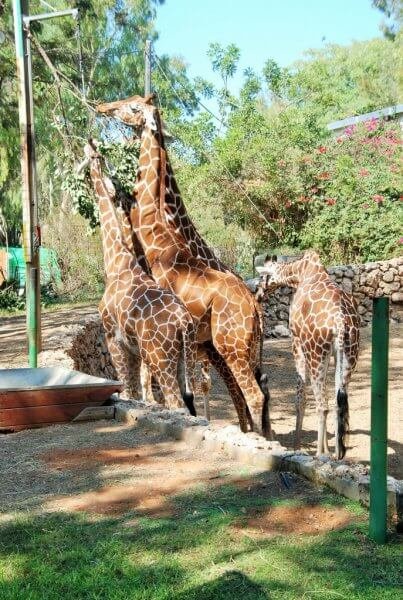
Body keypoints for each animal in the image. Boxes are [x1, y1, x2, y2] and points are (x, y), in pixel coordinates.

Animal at [83, 139, 197, 415]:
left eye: (91, 156)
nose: (86, 150)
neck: (116, 262)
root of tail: (184, 323)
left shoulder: (114, 338)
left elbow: (125, 388)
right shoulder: (133, 348)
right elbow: (134, 391)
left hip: (161, 357)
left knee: (176, 402)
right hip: (183, 357)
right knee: (190, 399)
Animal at [96, 95, 272, 437]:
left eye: (133, 108)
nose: (101, 108)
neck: (158, 236)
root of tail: (255, 306)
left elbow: (160, 389)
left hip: (227, 346)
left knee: (251, 393)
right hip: (241, 347)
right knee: (250, 390)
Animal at [256, 250, 360, 459]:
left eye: (263, 276)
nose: (258, 294)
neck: (299, 273)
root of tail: (341, 322)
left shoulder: (296, 341)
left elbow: (300, 397)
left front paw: (297, 447)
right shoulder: (330, 353)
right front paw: (328, 449)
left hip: (315, 353)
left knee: (323, 404)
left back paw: (319, 454)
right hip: (347, 355)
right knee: (338, 402)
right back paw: (337, 456)